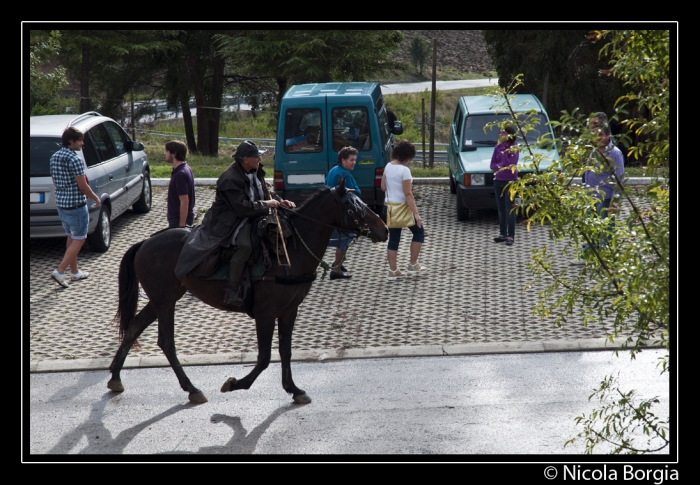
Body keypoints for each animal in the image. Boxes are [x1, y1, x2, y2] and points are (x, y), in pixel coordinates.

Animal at [106, 178, 388, 404]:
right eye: (353, 207)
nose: (384, 229)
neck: (288, 251)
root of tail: (146, 242)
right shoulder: (265, 314)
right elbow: (264, 357)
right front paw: (235, 384)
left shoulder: (289, 311)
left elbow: (285, 351)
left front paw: (293, 389)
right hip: (165, 302)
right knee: (166, 342)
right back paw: (191, 388)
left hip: (161, 299)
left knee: (134, 327)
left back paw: (116, 377)